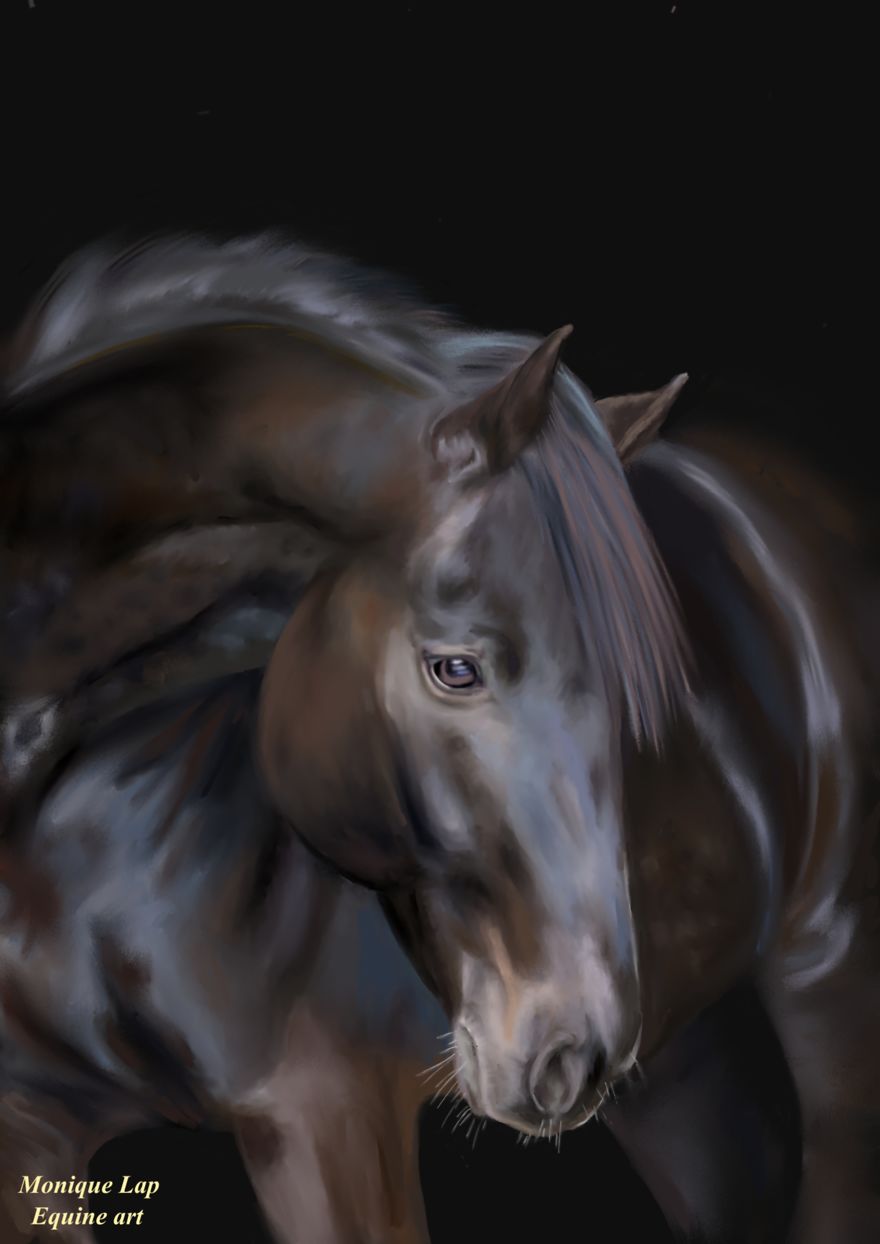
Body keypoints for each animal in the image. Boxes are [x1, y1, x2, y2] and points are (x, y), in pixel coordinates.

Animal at [0, 232, 877, 1244]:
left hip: (831, 985)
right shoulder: (32, 1124)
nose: (571, 1050)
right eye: (455, 670)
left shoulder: (326, 1114)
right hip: (681, 1069)